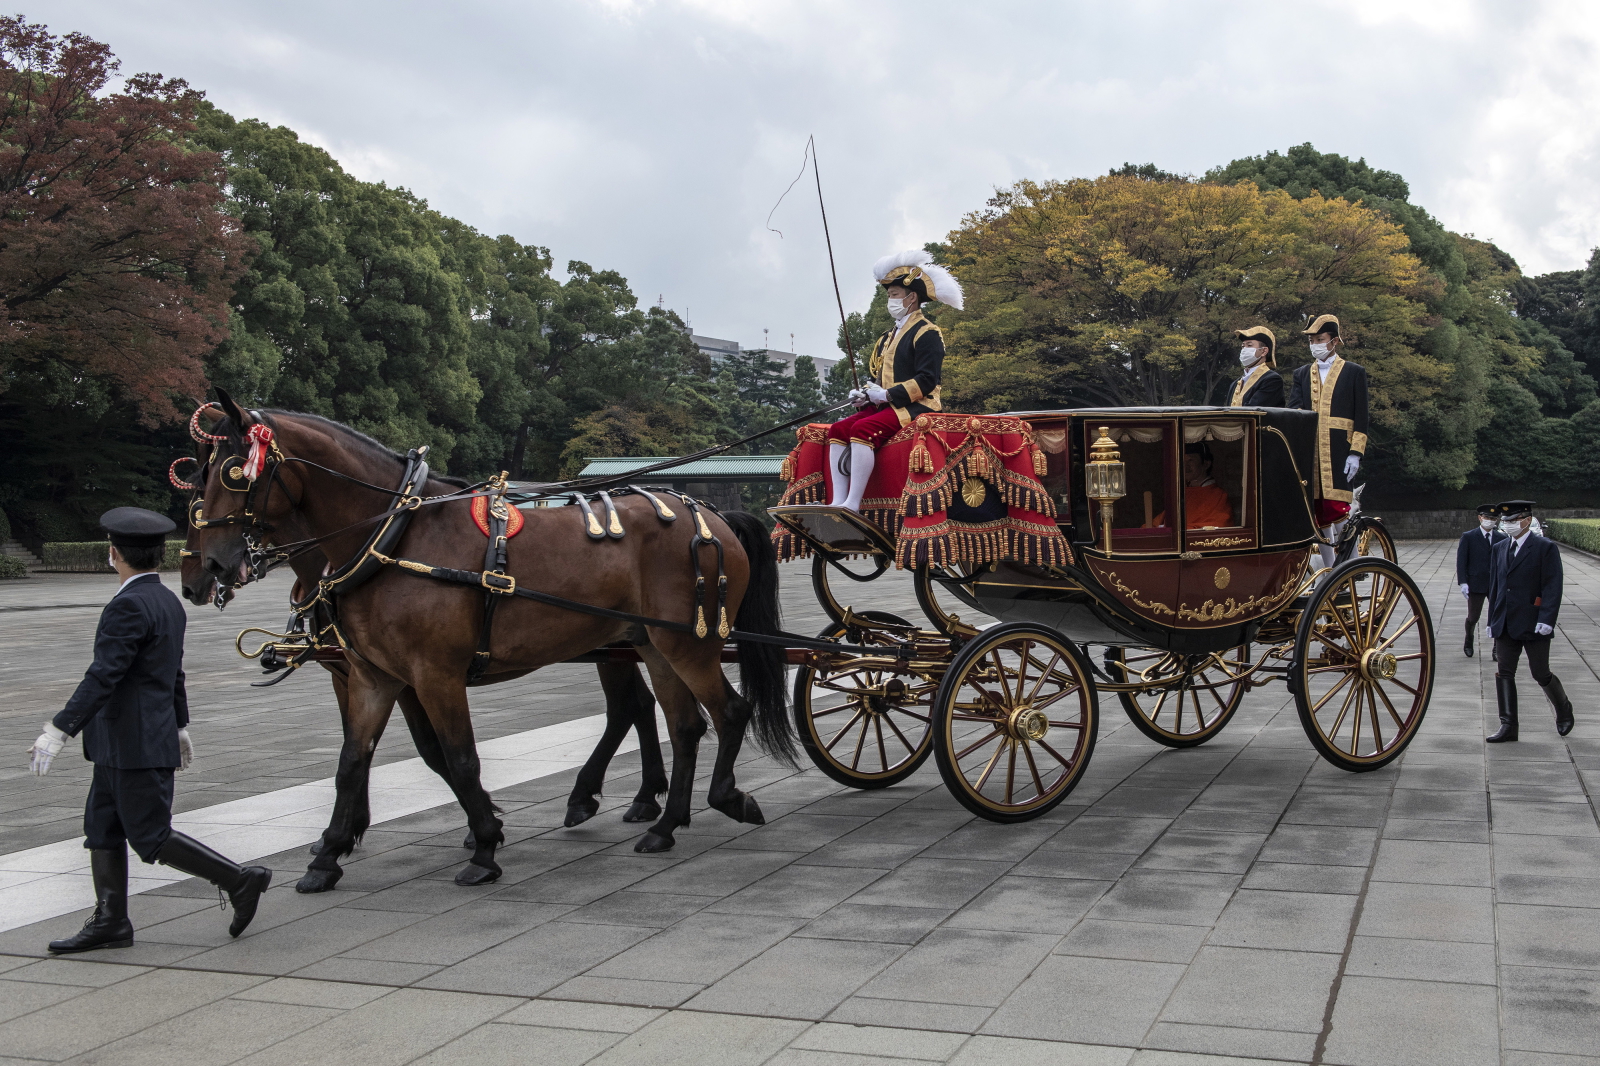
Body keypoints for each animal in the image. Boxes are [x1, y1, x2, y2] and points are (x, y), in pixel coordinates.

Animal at [181, 392, 793, 889]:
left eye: (233, 472)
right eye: (202, 475)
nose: (207, 569)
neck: (392, 536)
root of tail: (710, 513)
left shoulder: (434, 674)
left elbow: (458, 757)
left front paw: (484, 845)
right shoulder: (373, 675)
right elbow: (352, 760)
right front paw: (328, 853)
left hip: (689, 645)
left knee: (727, 711)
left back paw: (723, 797)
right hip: (651, 644)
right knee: (681, 723)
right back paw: (664, 823)